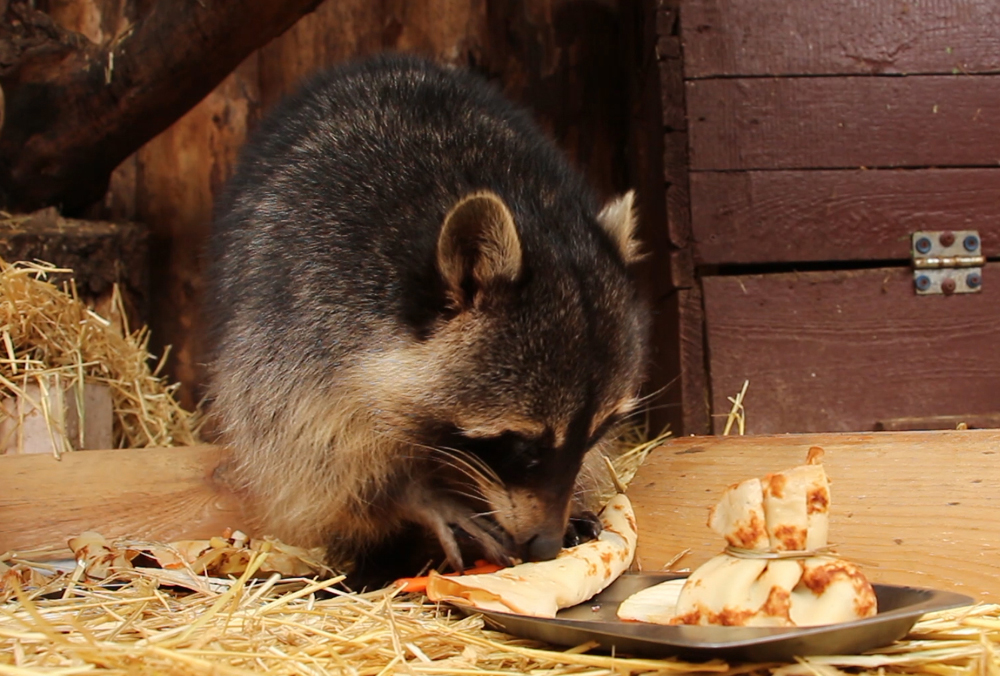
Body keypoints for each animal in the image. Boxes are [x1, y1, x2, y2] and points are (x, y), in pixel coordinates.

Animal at [207, 54, 652, 588]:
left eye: (597, 433)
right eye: (522, 445)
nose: (543, 547)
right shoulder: (298, 322)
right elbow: (309, 458)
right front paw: (411, 495)